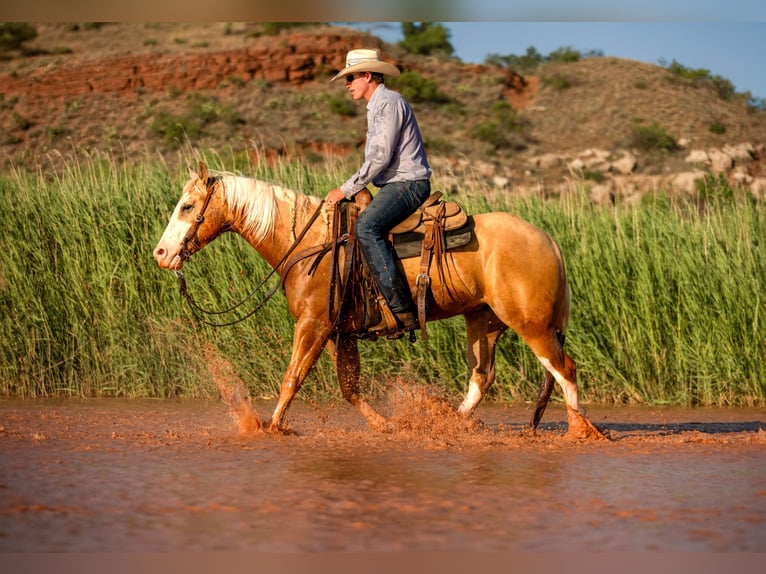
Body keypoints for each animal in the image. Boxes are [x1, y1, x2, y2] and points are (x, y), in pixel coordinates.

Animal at [153, 162, 604, 439]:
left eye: (187, 206)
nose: (161, 254)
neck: (311, 243)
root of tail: (547, 239)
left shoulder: (314, 324)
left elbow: (292, 378)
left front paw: (272, 427)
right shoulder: (340, 332)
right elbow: (349, 387)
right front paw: (386, 427)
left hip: (532, 324)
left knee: (564, 369)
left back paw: (581, 431)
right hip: (484, 321)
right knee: (482, 377)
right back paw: (448, 423)